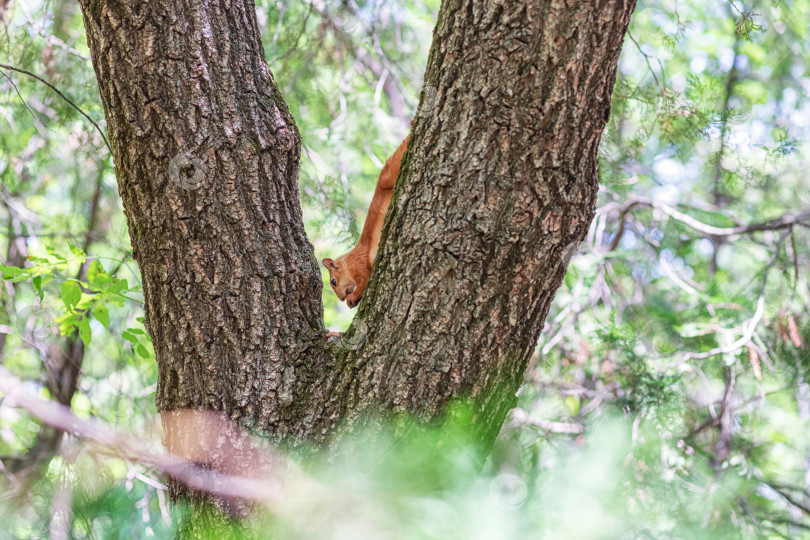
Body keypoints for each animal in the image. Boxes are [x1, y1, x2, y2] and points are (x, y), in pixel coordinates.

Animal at [322, 136, 410, 308]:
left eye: (333, 281)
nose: (341, 298)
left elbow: (363, 283)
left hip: (388, 177)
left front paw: (352, 299)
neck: (349, 261)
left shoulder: (361, 265)